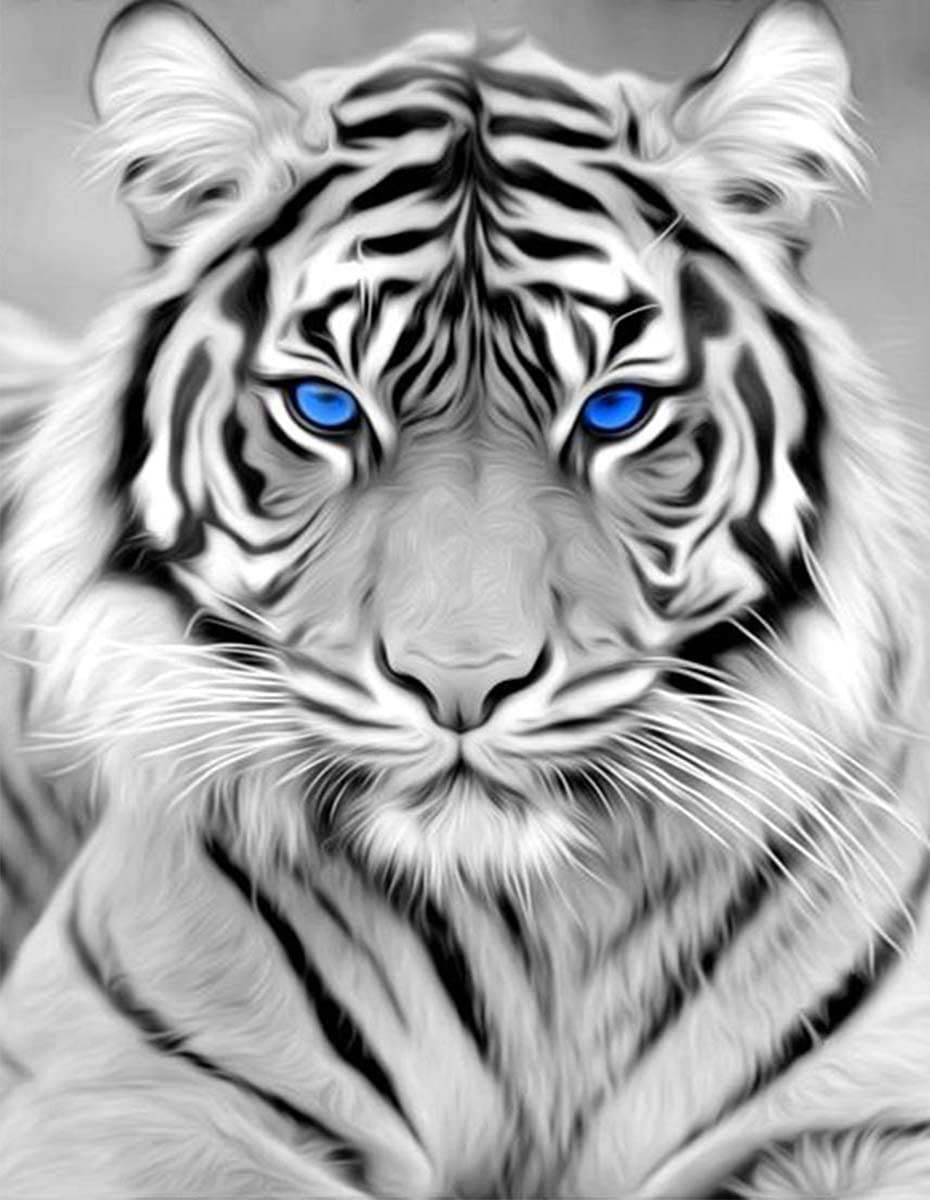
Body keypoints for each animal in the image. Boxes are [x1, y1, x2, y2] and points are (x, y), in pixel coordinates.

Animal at [1, 0, 929, 1196]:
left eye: (614, 409)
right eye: (324, 405)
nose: (461, 688)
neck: (539, 943)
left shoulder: (873, 1109)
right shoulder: (111, 1090)